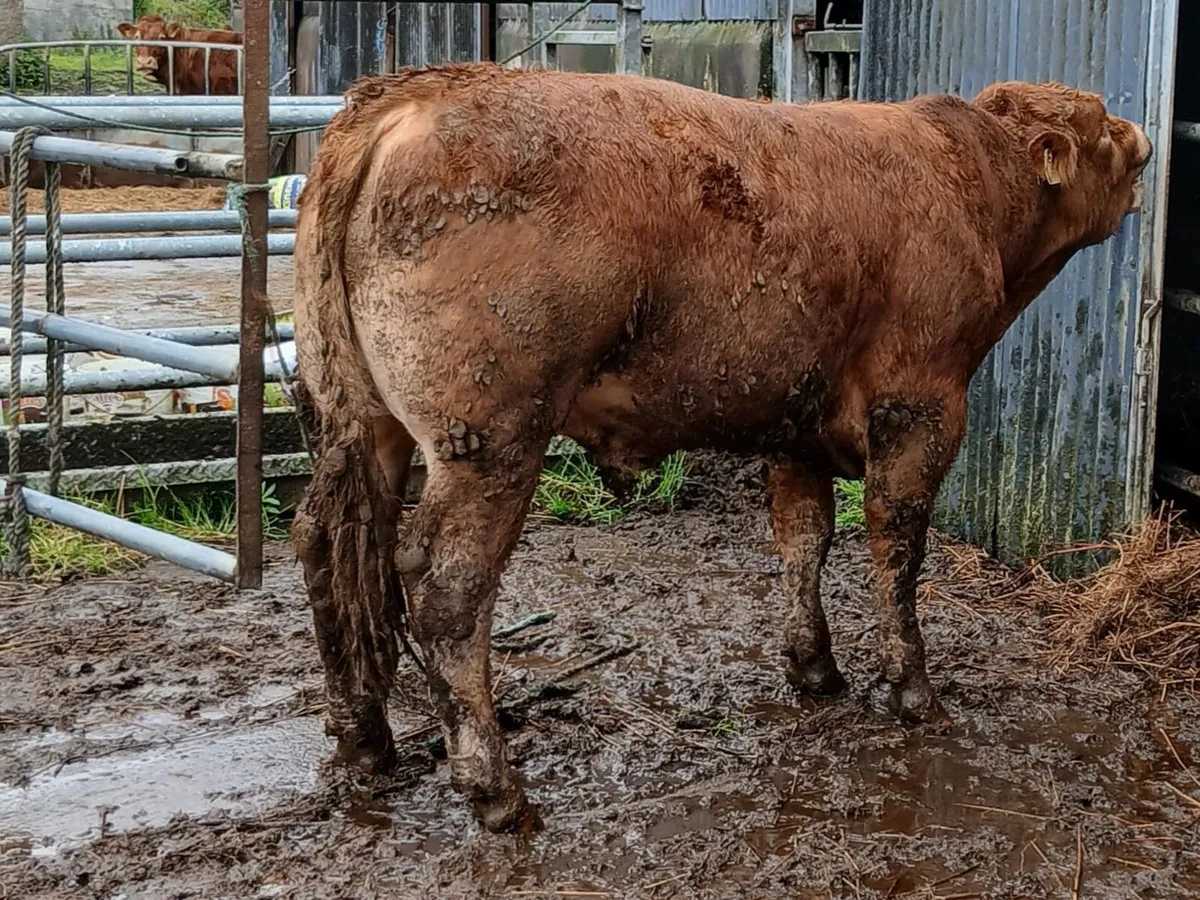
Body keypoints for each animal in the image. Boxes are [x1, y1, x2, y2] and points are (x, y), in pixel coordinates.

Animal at [291, 63, 1150, 833]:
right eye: (1100, 124)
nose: (1143, 141)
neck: (966, 179)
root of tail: (415, 92)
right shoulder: (922, 408)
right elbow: (897, 549)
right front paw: (912, 690)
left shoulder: (799, 421)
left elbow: (805, 539)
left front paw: (814, 666)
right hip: (491, 442)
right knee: (447, 591)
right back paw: (495, 789)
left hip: (359, 423)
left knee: (331, 551)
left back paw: (365, 741)